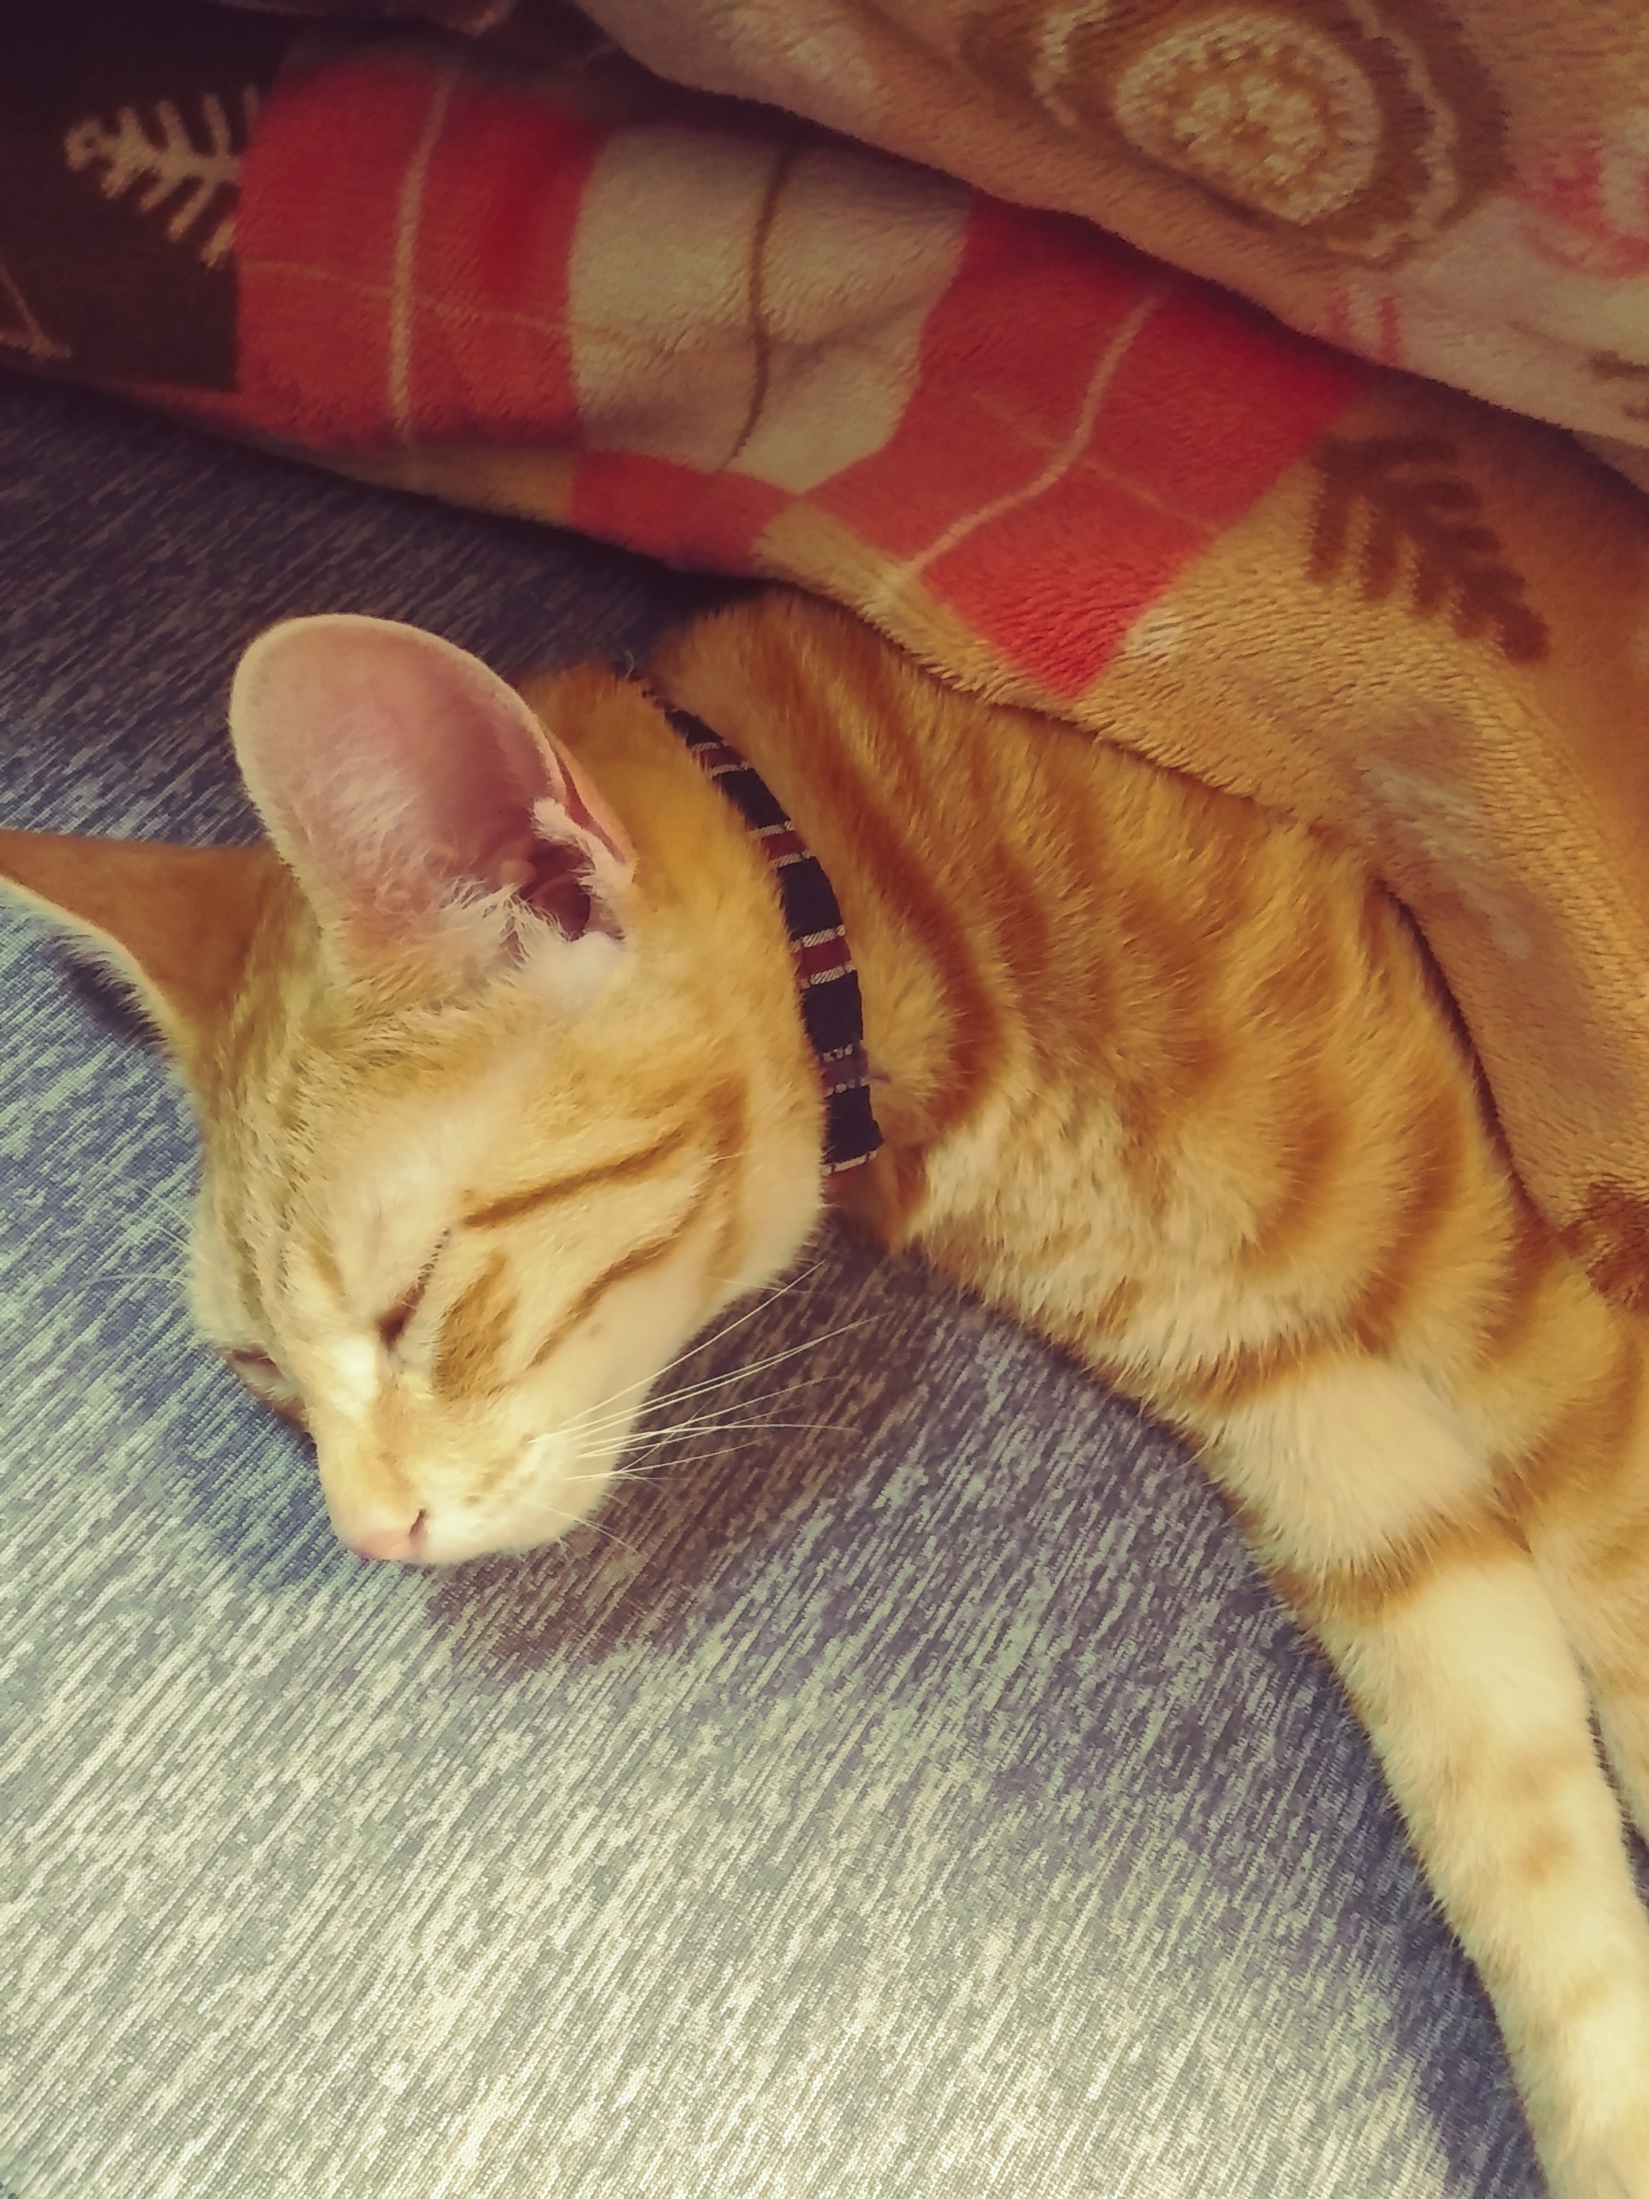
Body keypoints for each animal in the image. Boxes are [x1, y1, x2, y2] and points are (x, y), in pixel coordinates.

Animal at [4, 587, 1649, 2198]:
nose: (364, 1531)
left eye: (407, 1306)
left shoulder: (1523, 1314)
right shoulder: (1322, 1426)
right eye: (261, 1371)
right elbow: (1514, 1833)